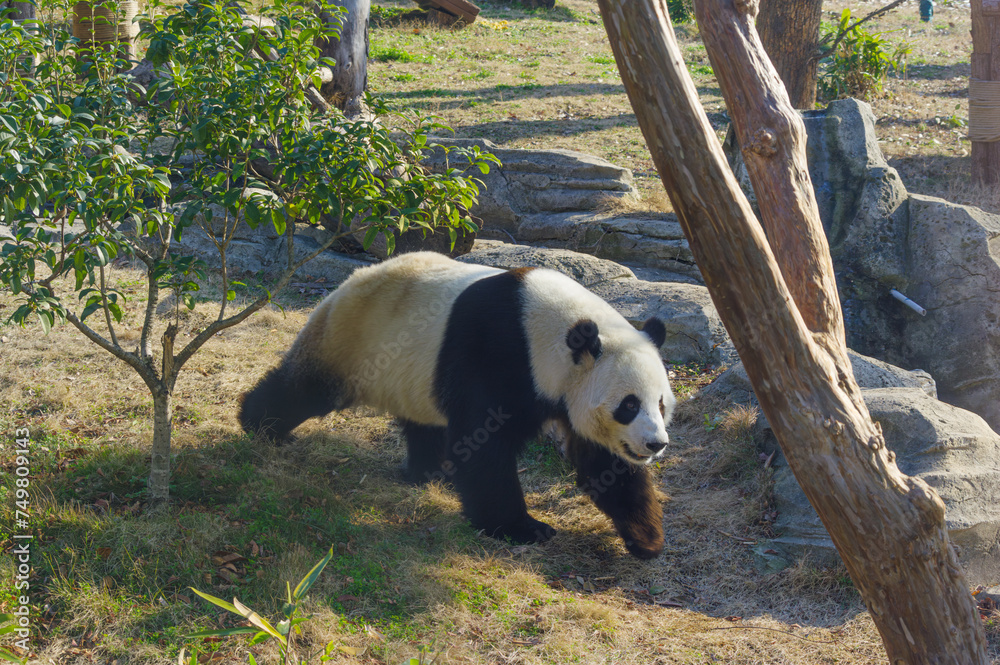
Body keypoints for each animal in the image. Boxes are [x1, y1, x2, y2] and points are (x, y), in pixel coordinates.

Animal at [240, 251, 675, 559]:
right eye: (628, 405)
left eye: (660, 404)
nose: (656, 444)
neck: (550, 330)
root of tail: (349, 280)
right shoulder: (499, 351)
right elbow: (484, 443)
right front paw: (522, 528)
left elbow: (604, 461)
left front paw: (646, 538)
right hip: (354, 338)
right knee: (306, 389)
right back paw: (259, 424)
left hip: (411, 372)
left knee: (424, 420)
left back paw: (429, 472)